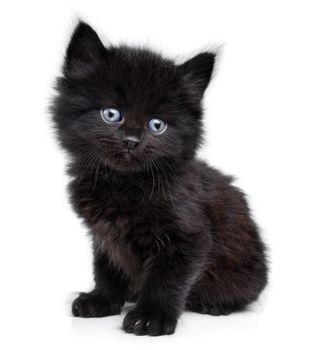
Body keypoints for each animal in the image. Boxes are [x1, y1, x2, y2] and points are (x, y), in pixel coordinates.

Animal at [50, 21, 266, 336]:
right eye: (111, 114)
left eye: (157, 125)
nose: (131, 141)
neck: (122, 184)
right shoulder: (104, 236)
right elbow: (106, 269)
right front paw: (102, 300)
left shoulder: (186, 237)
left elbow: (165, 280)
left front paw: (152, 316)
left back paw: (215, 305)